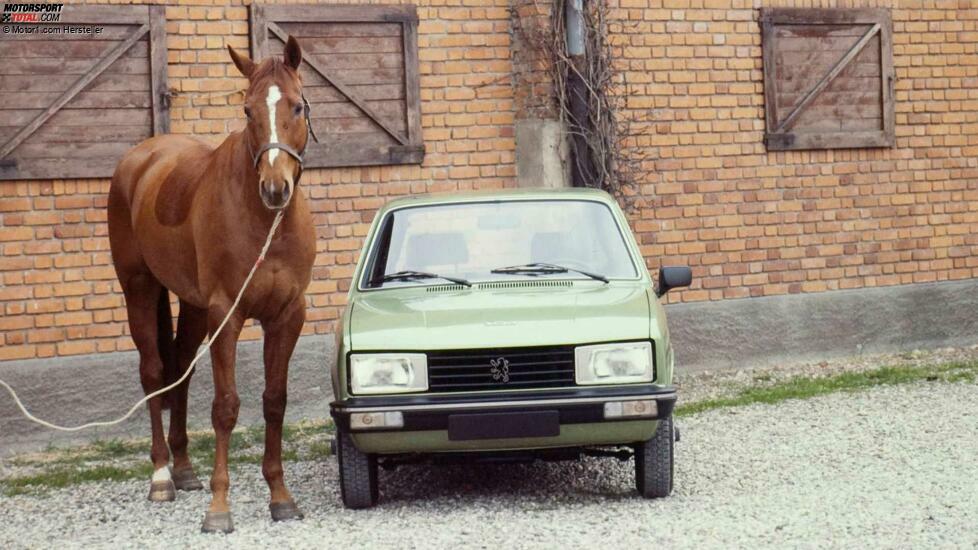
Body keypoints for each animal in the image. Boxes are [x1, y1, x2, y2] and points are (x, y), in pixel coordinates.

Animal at [110, 35, 316, 536]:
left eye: (298, 106)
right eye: (246, 110)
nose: (275, 188)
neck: (266, 223)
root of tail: (140, 159)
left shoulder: (288, 315)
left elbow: (274, 401)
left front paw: (281, 497)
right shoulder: (228, 313)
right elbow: (226, 406)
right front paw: (219, 509)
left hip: (192, 304)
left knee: (180, 371)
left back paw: (185, 470)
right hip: (139, 288)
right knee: (153, 374)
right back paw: (162, 476)